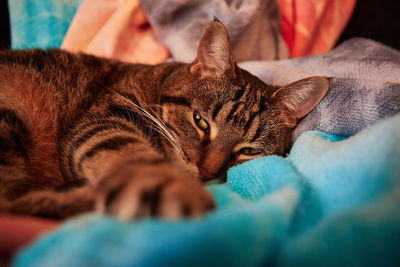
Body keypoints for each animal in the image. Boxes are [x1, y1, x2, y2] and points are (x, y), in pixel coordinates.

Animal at [0, 19, 328, 220]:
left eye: (248, 151)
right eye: (201, 122)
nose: (206, 173)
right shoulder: (105, 119)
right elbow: (127, 152)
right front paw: (164, 184)